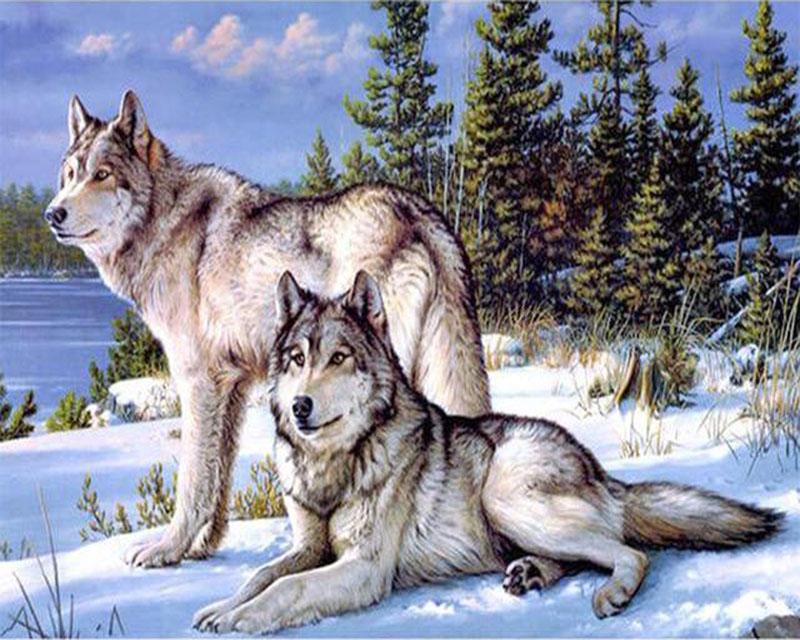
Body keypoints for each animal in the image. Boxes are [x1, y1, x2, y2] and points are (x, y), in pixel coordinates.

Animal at [44, 90, 490, 568]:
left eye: (102, 175)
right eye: (69, 175)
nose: (53, 213)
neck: (162, 223)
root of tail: (422, 215)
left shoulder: (197, 382)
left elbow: (192, 482)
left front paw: (167, 549)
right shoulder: (232, 387)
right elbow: (218, 478)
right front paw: (203, 548)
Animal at [193, 270, 783, 634]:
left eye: (338, 357)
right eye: (296, 358)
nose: (300, 406)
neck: (334, 465)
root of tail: (599, 470)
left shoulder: (364, 567)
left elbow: (287, 588)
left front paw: (240, 619)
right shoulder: (309, 547)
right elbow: (260, 576)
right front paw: (219, 607)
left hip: (506, 498)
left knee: (631, 553)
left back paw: (609, 595)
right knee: (583, 555)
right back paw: (530, 574)